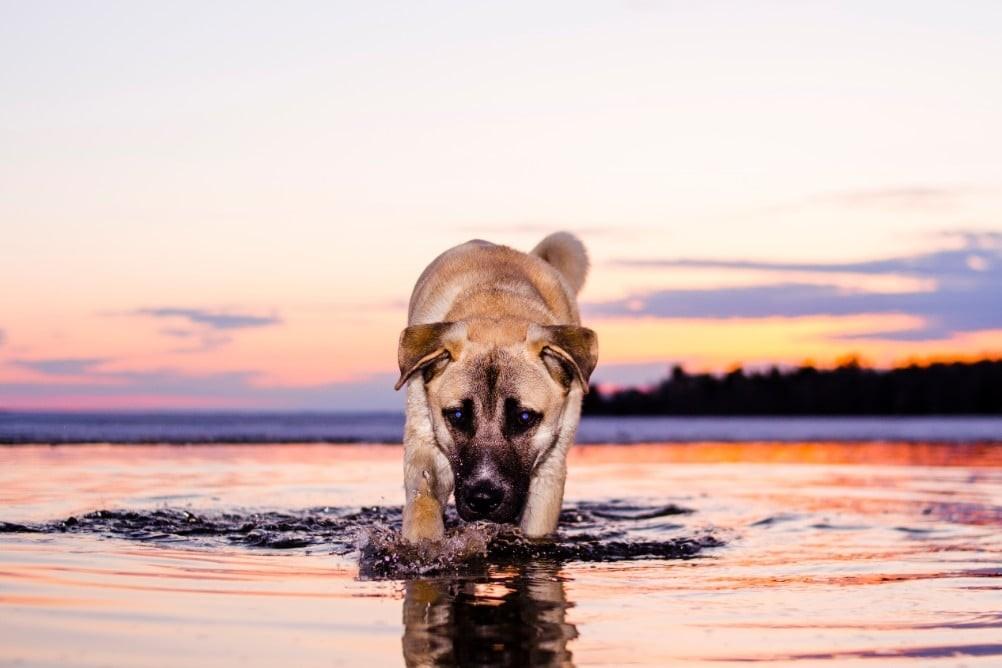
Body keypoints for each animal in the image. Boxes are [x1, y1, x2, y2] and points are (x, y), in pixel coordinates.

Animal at [392, 234, 597, 544]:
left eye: (524, 417)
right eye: (457, 415)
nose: (483, 499)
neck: (496, 305)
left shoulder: (550, 471)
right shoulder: (425, 451)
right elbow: (423, 508)